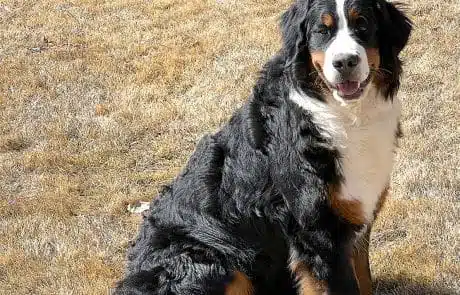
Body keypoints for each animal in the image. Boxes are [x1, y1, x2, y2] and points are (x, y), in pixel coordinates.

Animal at [115, 0, 414, 294]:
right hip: (217, 263)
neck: (345, 115)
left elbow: (365, 279)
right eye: (322, 30)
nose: (345, 61)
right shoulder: (320, 232)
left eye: (363, 24)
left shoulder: (356, 218)